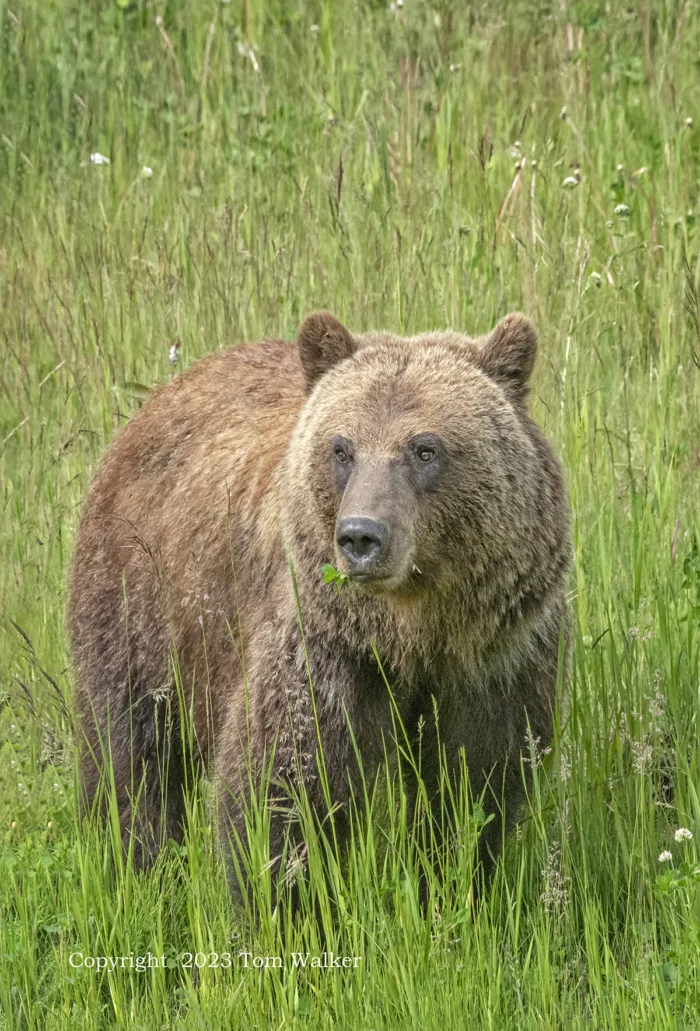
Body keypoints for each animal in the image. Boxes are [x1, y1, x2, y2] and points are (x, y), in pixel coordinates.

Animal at [68, 311, 573, 894]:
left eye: (425, 449)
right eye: (341, 449)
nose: (360, 536)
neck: (411, 630)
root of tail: (156, 399)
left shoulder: (496, 655)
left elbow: (473, 779)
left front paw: (453, 880)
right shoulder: (325, 647)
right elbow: (282, 784)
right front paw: (286, 896)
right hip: (144, 599)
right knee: (128, 751)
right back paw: (138, 867)